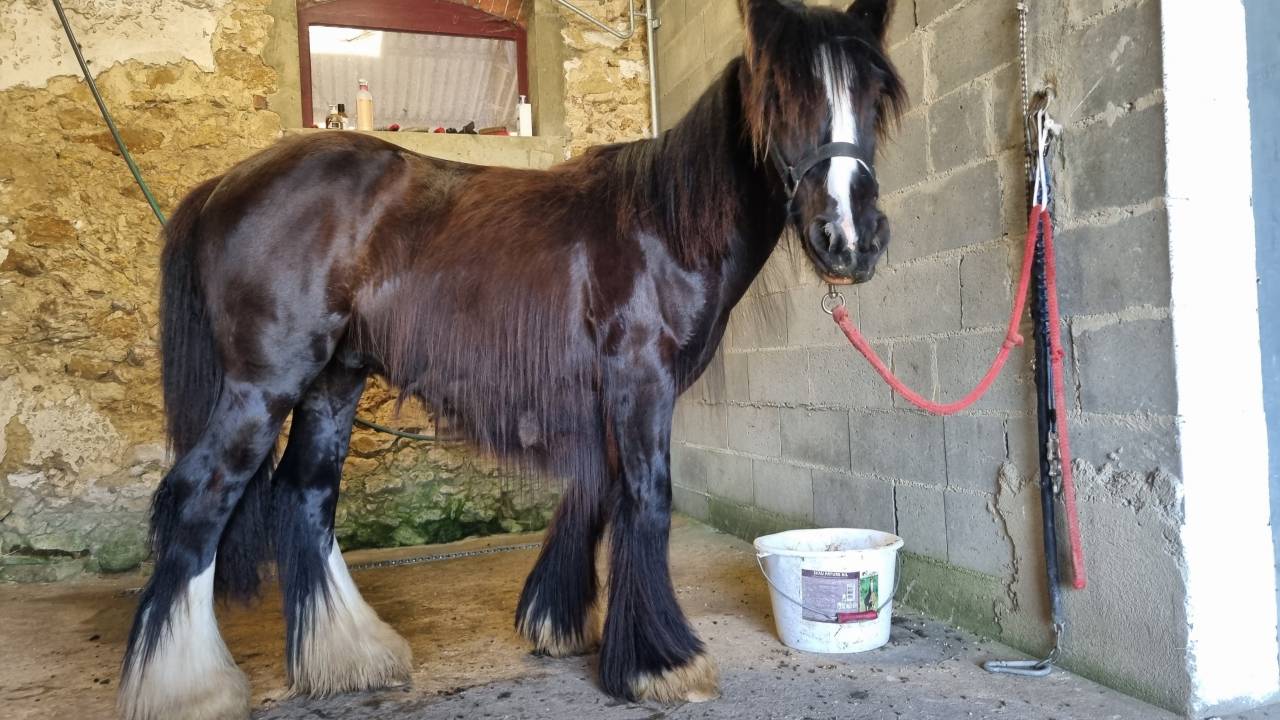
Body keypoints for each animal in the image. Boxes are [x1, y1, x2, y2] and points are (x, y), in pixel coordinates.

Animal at [117, 1, 905, 717]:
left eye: (873, 97)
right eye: (781, 95)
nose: (851, 239)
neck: (665, 224)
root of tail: (226, 184)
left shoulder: (606, 395)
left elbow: (595, 492)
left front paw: (558, 623)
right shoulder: (642, 380)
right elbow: (646, 496)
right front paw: (660, 663)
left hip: (333, 381)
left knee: (307, 494)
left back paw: (348, 657)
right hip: (266, 380)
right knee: (203, 495)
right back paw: (185, 689)